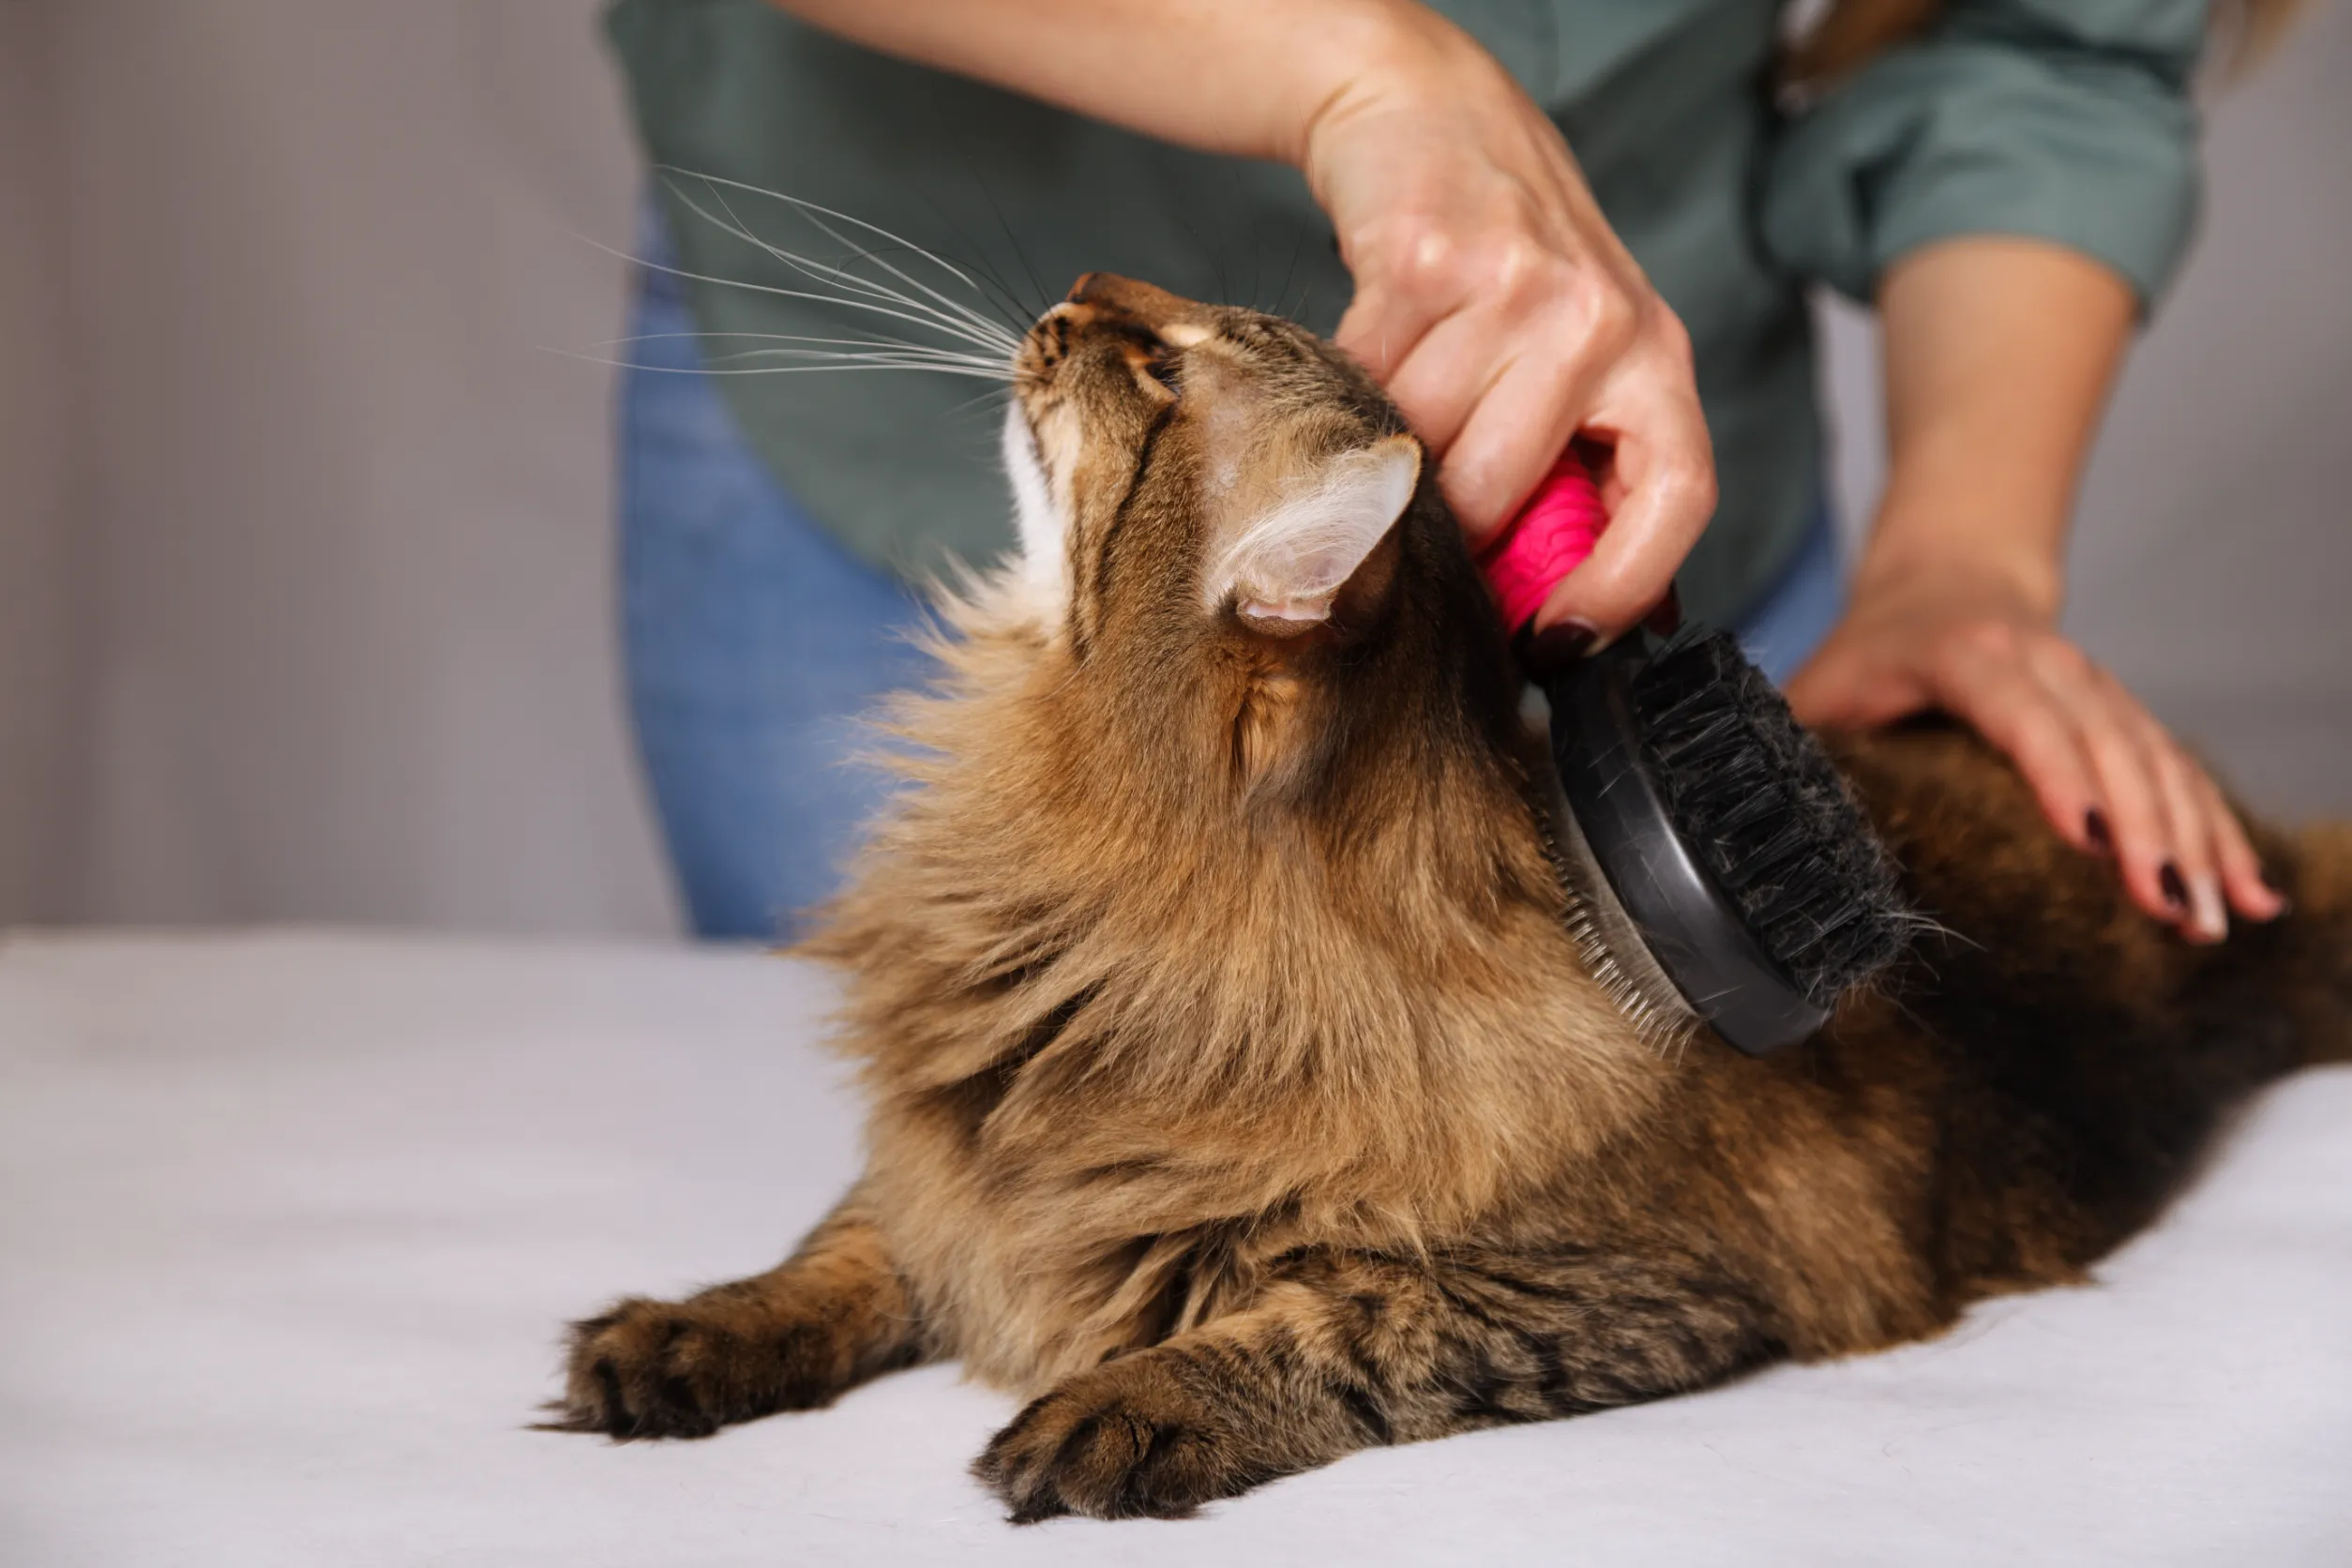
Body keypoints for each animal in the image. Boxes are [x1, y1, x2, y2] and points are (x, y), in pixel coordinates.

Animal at [554, 272, 2352, 1523]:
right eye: (1139, 326)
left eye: (1159, 370)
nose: (1062, 304)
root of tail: (2236, 871)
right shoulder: (955, 1168)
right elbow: (845, 1249)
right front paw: (688, 1337)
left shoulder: (1614, 1293)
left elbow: (1322, 1328)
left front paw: (1132, 1406)